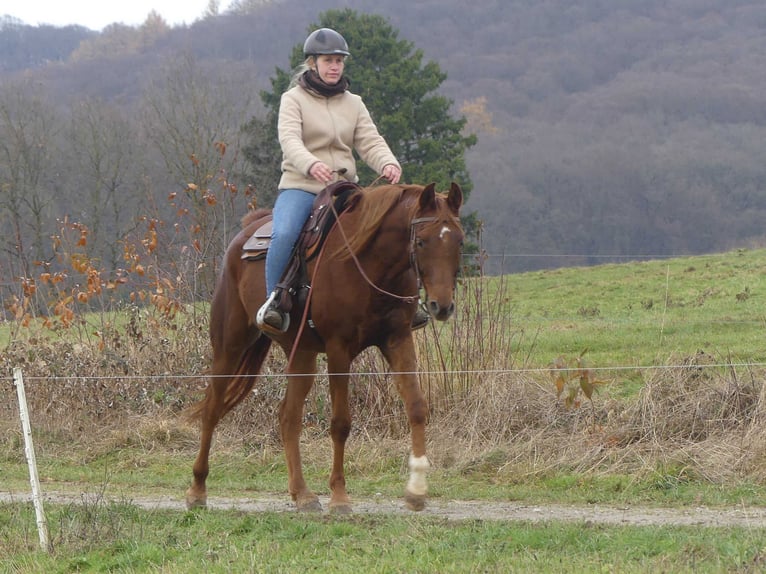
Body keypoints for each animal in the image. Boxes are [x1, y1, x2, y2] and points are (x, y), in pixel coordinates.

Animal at [185, 181, 464, 513]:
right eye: (421, 242)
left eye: (459, 241)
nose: (442, 306)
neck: (367, 263)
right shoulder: (338, 349)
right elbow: (341, 423)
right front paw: (340, 497)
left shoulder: (398, 341)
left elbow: (417, 407)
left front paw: (416, 490)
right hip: (230, 344)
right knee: (212, 409)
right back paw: (197, 490)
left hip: (301, 355)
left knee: (288, 417)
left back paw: (302, 494)